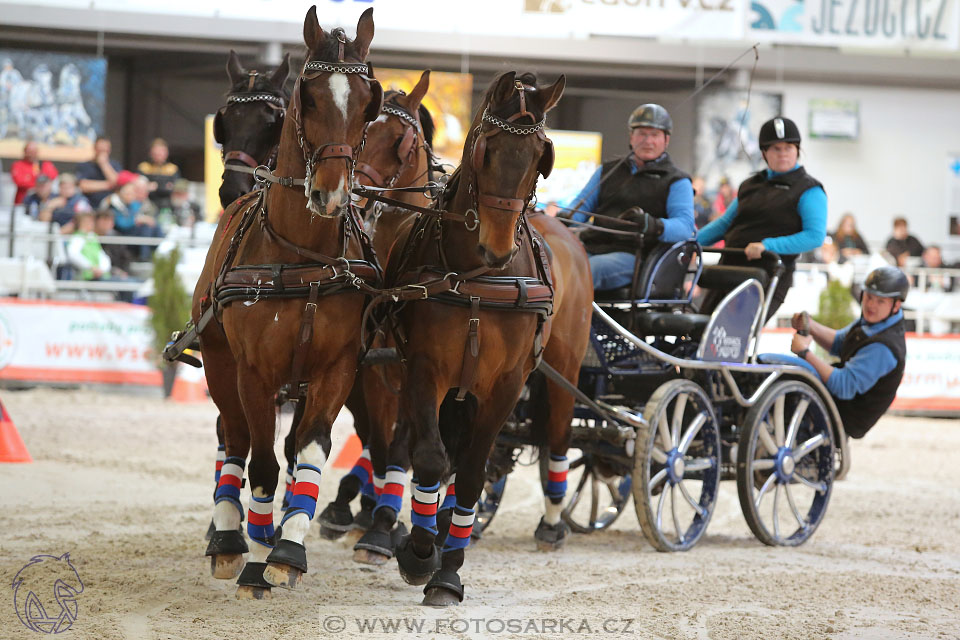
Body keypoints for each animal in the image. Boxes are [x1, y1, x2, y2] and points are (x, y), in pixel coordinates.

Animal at [193, 6, 384, 600]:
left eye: (367, 101)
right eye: (310, 98)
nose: (331, 192)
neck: (302, 257)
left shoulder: (335, 370)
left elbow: (310, 454)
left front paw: (288, 549)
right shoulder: (253, 371)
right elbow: (260, 466)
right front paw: (256, 556)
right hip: (219, 364)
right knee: (232, 441)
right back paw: (229, 538)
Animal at [364, 72, 568, 604]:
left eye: (540, 156)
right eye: (485, 151)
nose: (496, 246)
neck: (480, 279)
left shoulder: (504, 385)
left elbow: (474, 472)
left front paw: (449, 571)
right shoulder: (423, 370)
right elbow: (429, 459)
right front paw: (419, 554)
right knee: (408, 447)